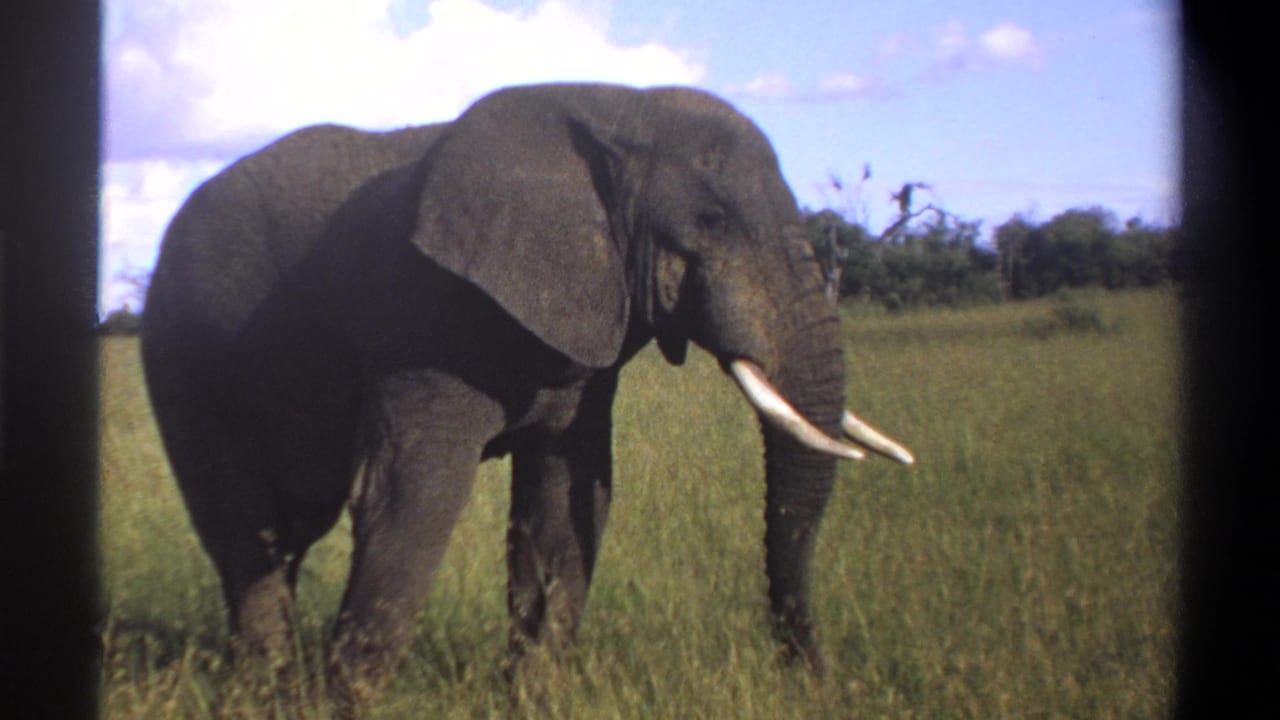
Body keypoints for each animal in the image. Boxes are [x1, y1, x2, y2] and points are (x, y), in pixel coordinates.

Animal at [140, 82, 913, 709]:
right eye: (712, 221)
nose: (821, 684)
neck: (617, 110)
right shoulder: (422, 322)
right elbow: (410, 495)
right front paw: (343, 706)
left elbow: (568, 498)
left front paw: (534, 700)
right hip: (185, 360)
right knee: (248, 529)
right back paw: (264, 692)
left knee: (287, 530)